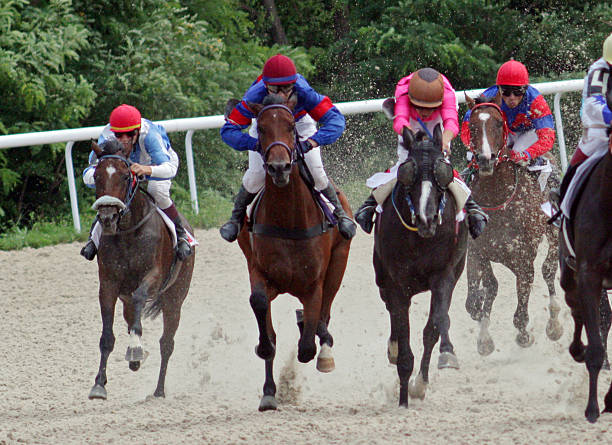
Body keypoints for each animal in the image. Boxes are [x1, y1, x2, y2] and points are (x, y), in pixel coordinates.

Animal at [86, 138, 194, 398]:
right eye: (97, 175)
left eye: (126, 176)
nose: (107, 218)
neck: (127, 231)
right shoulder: (108, 285)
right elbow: (107, 337)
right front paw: (99, 384)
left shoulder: (153, 277)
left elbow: (140, 296)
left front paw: (135, 350)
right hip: (127, 298)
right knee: (131, 319)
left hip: (175, 297)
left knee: (167, 343)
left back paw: (159, 390)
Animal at [233, 95, 350, 412]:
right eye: (260, 128)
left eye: (290, 126)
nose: (279, 168)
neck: (288, 218)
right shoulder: (259, 271)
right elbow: (261, 309)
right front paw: (265, 356)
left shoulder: (314, 284)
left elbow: (308, 344)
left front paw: (316, 347)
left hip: (338, 264)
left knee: (323, 317)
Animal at [372, 113, 468, 406]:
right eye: (408, 173)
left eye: (442, 173)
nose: (427, 218)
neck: (420, 238)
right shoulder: (397, 283)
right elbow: (402, 334)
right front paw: (404, 397)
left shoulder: (443, 276)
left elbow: (432, 328)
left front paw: (420, 383)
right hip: (381, 276)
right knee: (390, 310)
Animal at [462, 93, 560, 354]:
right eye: (472, 126)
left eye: (498, 123)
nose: (485, 159)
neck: (497, 200)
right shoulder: (476, 251)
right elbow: (478, 299)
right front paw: (484, 339)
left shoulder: (523, 259)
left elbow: (520, 310)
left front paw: (524, 335)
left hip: (554, 231)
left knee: (549, 269)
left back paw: (554, 323)